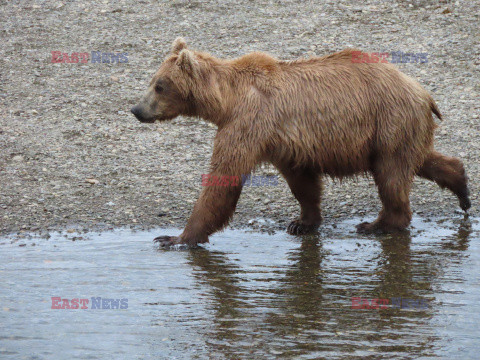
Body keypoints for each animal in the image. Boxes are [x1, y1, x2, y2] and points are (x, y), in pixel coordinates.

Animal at [130, 38, 468, 246]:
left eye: (159, 85)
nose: (136, 109)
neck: (226, 101)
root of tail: (422, 91)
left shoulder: (248, 122)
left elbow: (224, 177)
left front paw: (176, 238)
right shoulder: (281, 141)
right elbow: (301, 181)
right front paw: (302, 222)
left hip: (388, 121)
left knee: (391, 174)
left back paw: (377, 224)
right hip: (399, 128)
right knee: (420, 159)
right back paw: (462, 188)